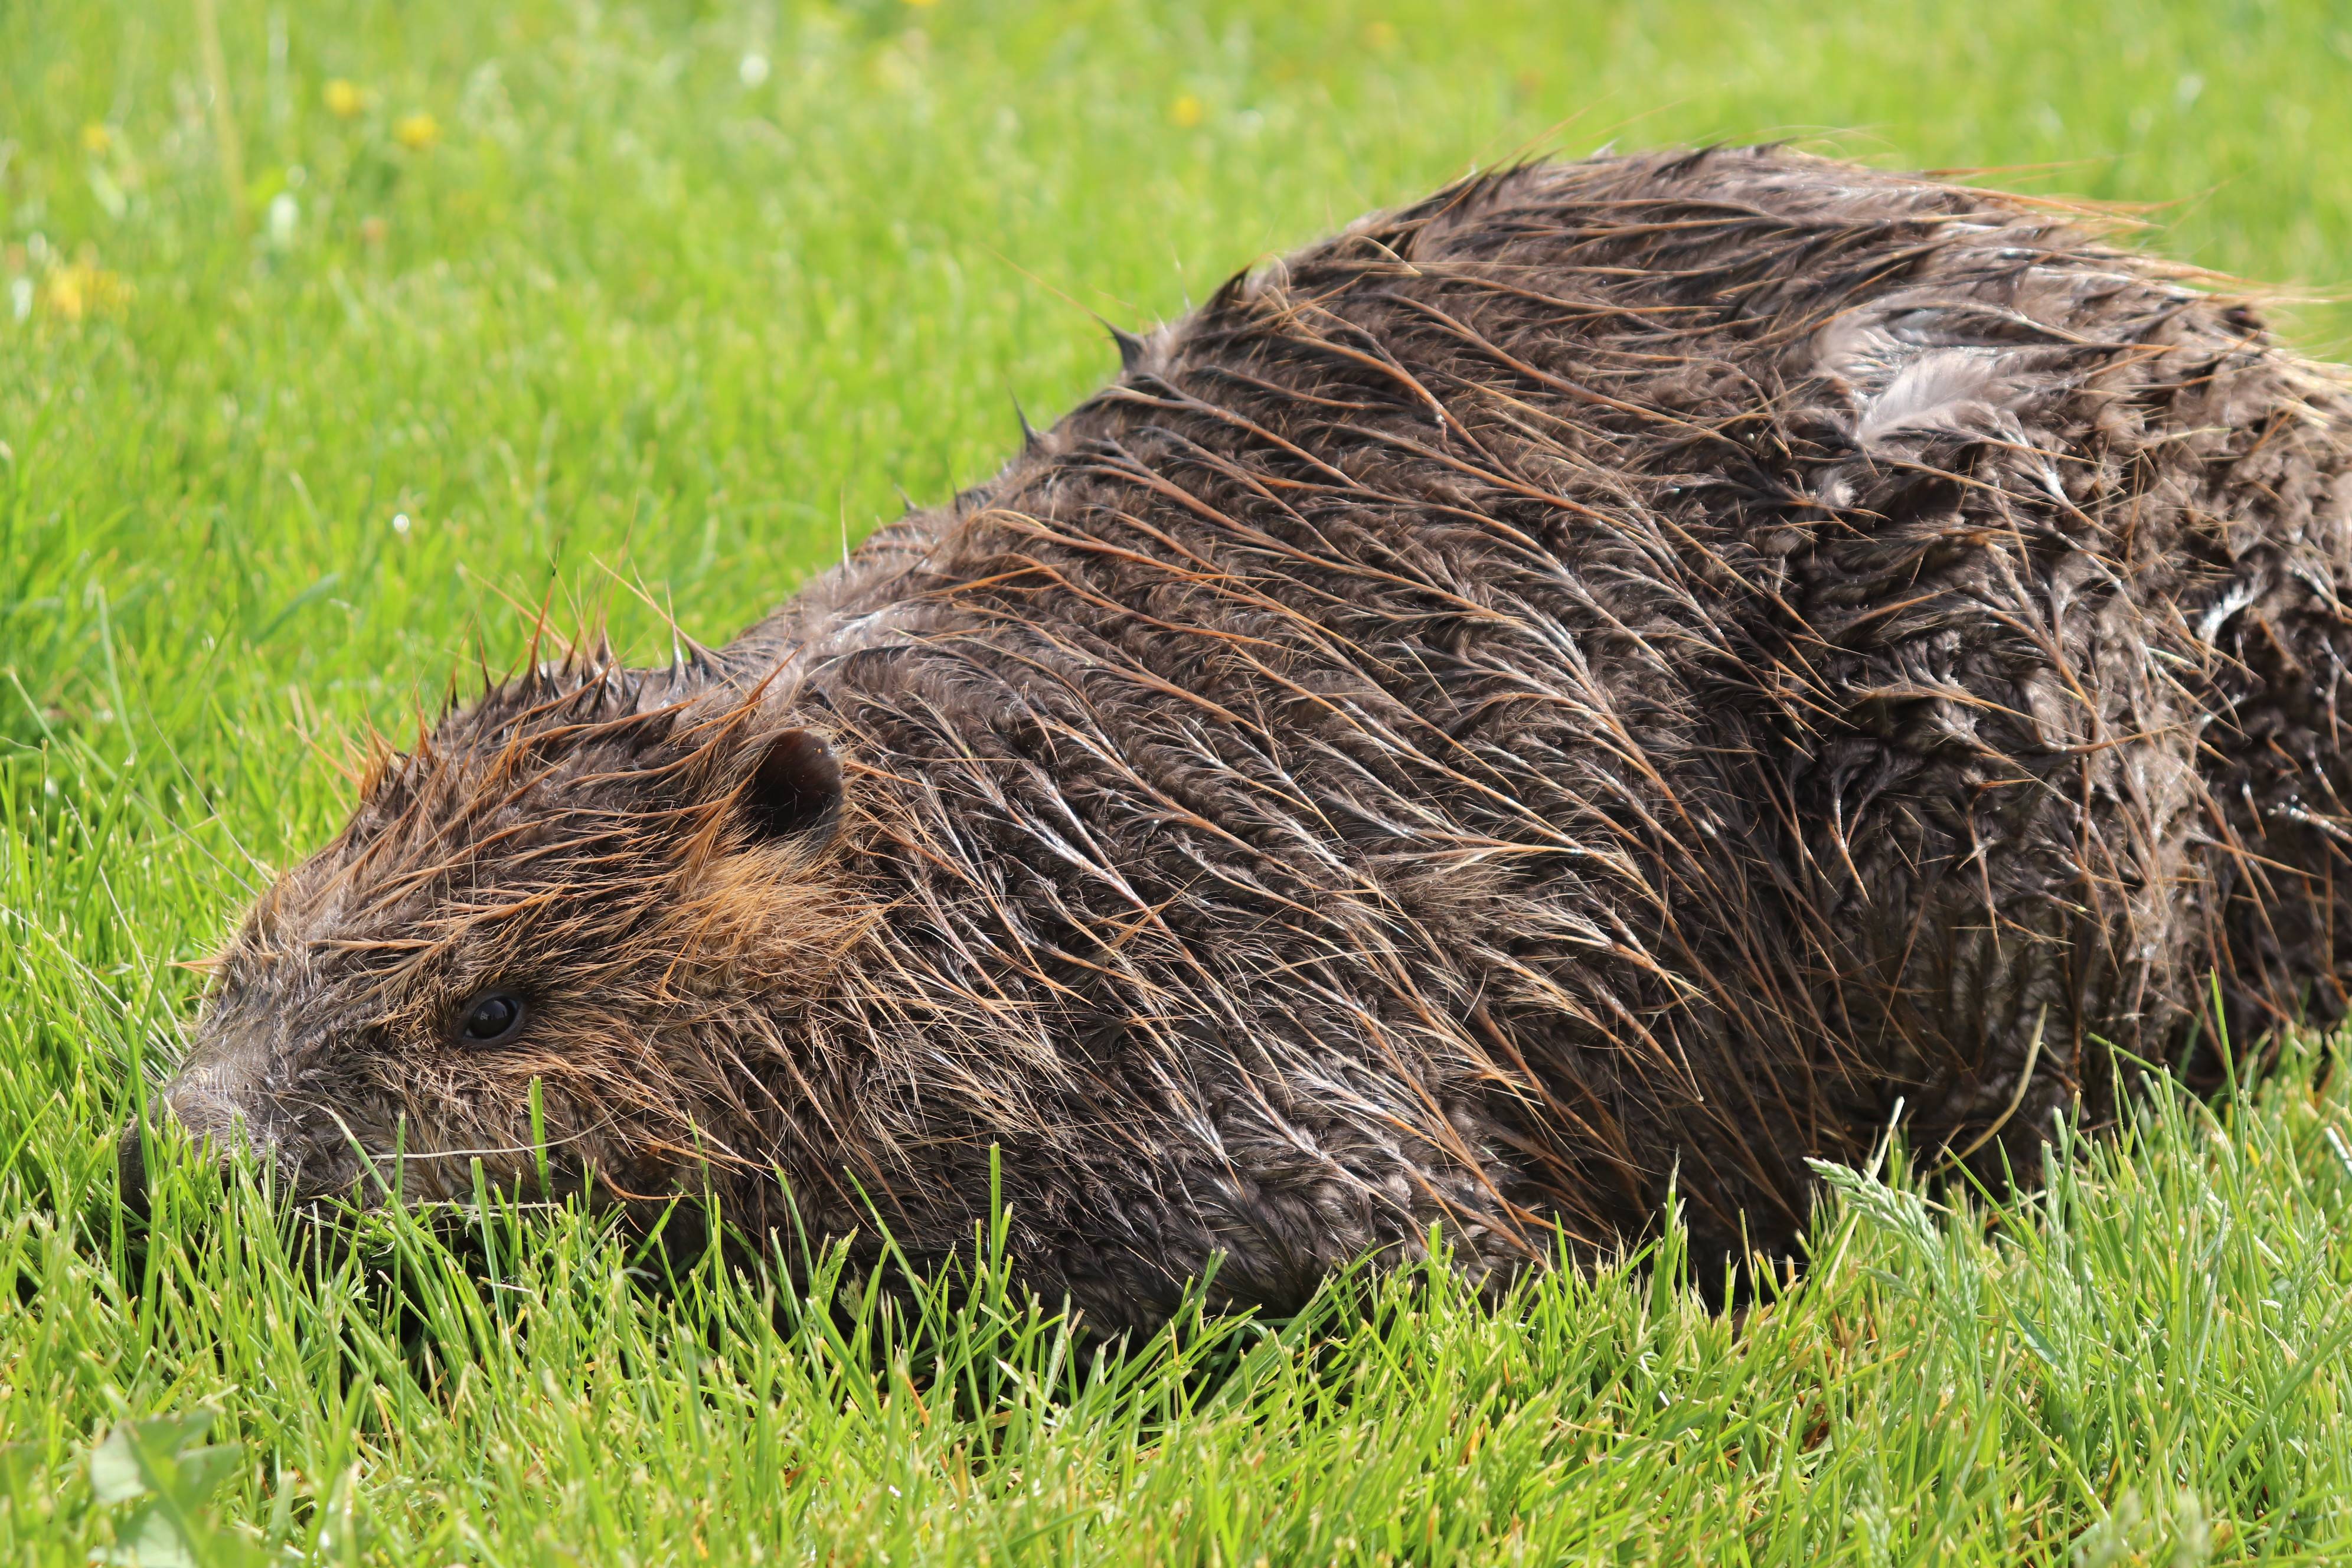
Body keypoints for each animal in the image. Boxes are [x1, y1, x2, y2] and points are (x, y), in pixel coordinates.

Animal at [133, 143, 2352, 1325]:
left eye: (492, 1008)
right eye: (248, 960)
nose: (196, 1154)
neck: (1019, 839)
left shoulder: (1239, 1012)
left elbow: (1400, 1252)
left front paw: (1615, 1286)